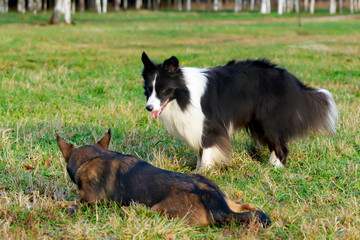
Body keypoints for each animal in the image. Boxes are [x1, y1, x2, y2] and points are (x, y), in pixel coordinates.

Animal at [55, 129, 270, 227]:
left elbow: (70, 201)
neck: (94, 156)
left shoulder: (89, 201)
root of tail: (209, 193)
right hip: (229, 201)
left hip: (157, 209)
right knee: (245, 206)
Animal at [141, 52, 338, 170]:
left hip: (269, 119)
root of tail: (292, 79)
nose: (149, 108)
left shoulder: (209, 123)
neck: (184, 93)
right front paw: (197, 170)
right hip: (259, 121)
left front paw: (203, 173)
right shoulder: (195, 125)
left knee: (281, 146)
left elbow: (207, 148)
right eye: (149, 89)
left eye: (163, 90)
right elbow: (200, 152)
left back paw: (276, 168)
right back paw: (271, 164)